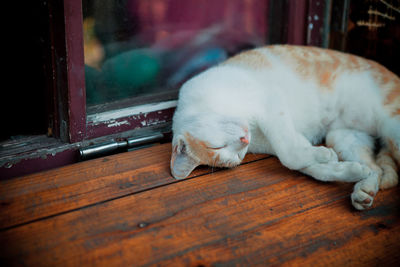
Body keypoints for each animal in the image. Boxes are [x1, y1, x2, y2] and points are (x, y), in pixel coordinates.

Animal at [170, 44, 400, 211]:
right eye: (234, 157)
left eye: (215, 147)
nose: (245, 139)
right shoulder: (290, 136)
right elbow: (307, 165)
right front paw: (345, 168)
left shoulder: (271, 101)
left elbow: (289, 154)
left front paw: (328, 157)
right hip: (343, 136)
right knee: (376, 168)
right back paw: (364, 191)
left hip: (392, 126)